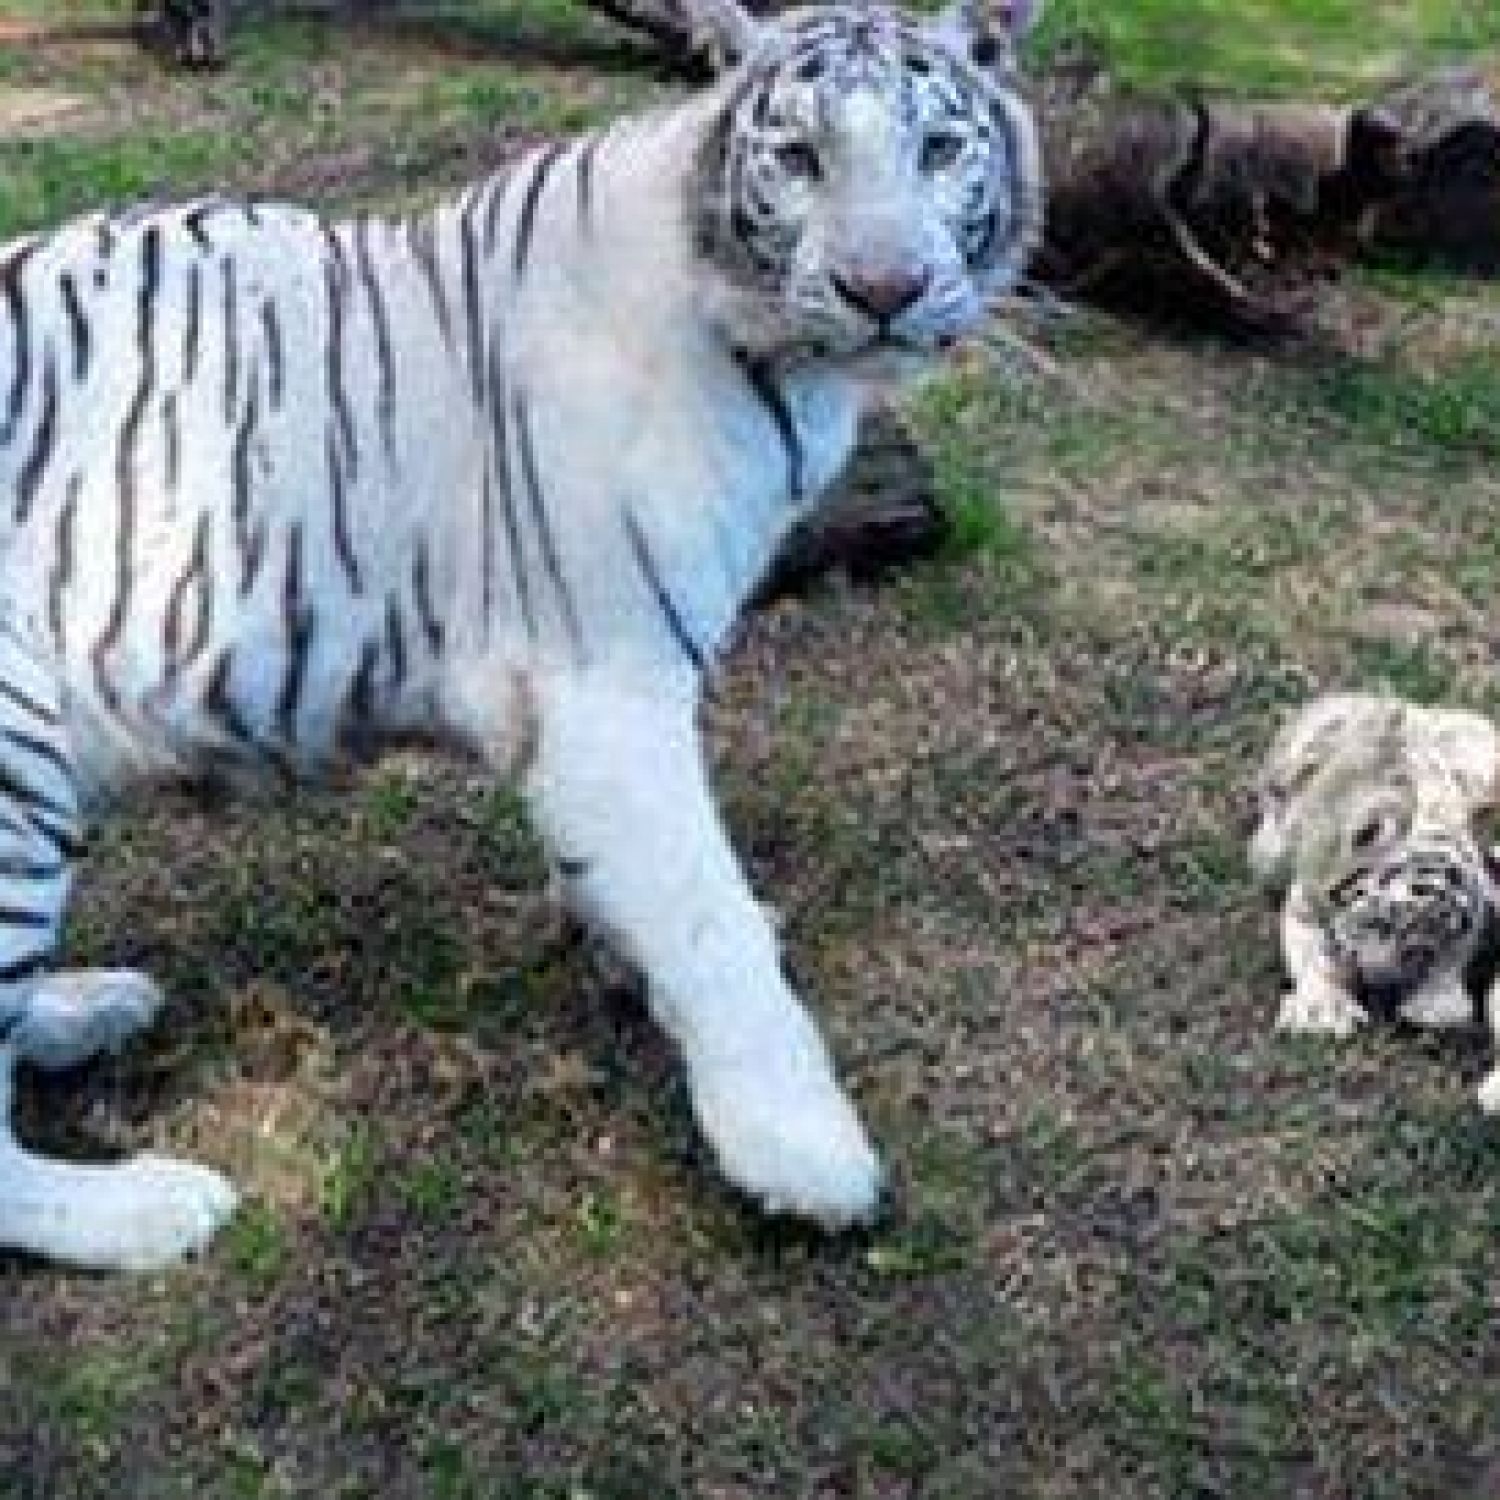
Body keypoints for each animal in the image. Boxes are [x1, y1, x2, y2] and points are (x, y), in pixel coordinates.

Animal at [0, 0, 1044, 1272]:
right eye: (800, 160)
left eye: (939, 150)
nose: (884, 287)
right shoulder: (610, 688)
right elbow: (708, 920)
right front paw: (803, 1155)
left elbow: (647, 885)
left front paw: (623, 950)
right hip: (18, 759)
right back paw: (146, 1205)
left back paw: (78, 1008)